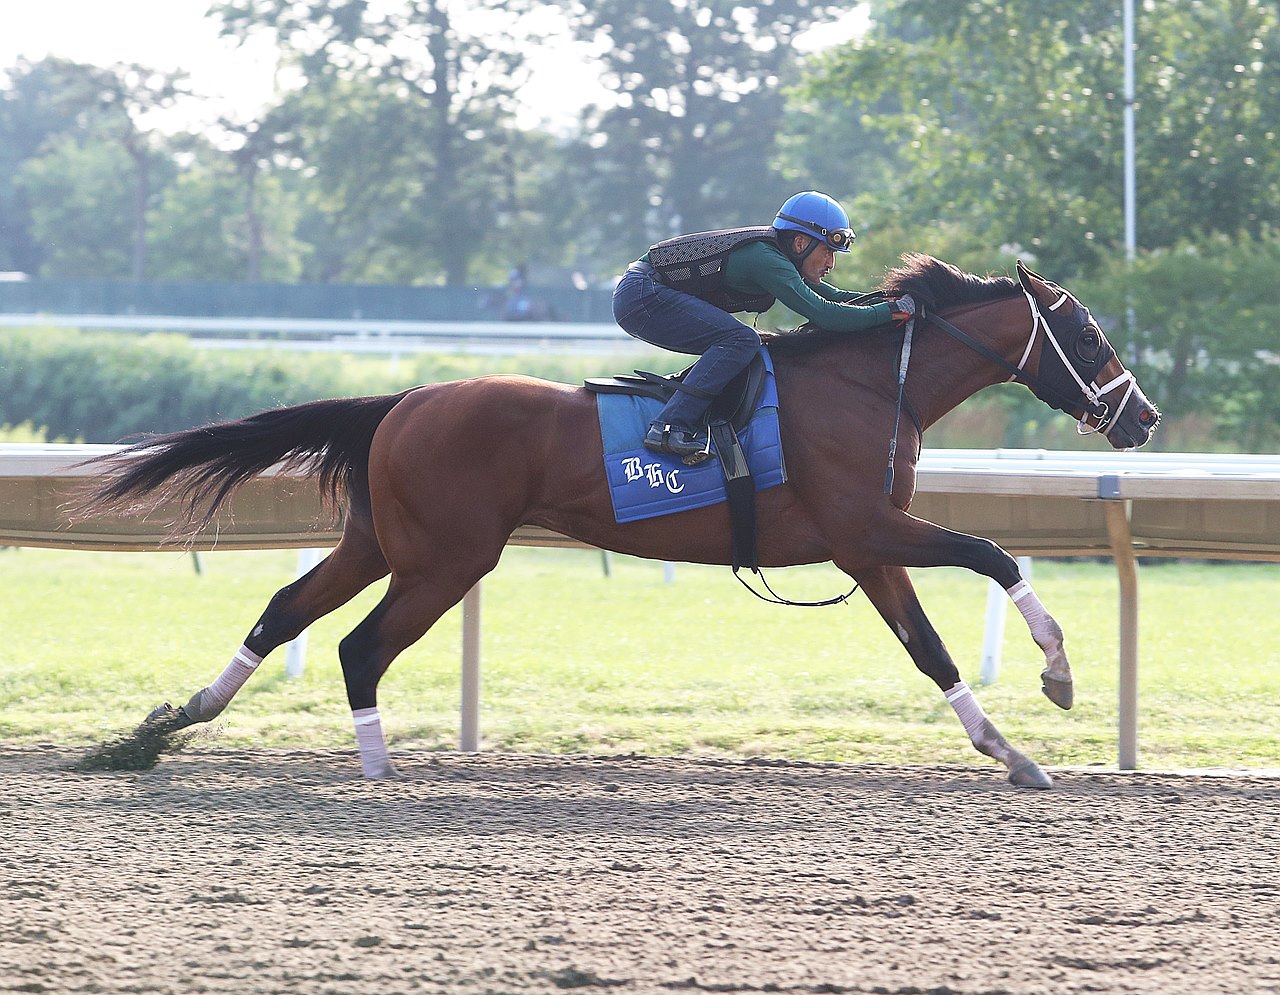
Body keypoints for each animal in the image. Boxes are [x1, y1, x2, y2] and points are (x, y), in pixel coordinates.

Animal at [77, 254, 1162, 783]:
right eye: (1085, 332)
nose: (1142, 416)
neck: (868, 386)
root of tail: (402, 399)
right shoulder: (865, 529)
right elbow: (991, 553)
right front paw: (1057, 674)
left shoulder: (865, 546)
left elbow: (930, 648)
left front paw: (1012, 751)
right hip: (447, 559)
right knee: (356, 645)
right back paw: (376, 769)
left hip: (379, 540)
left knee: (281, 611)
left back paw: (165, 727)